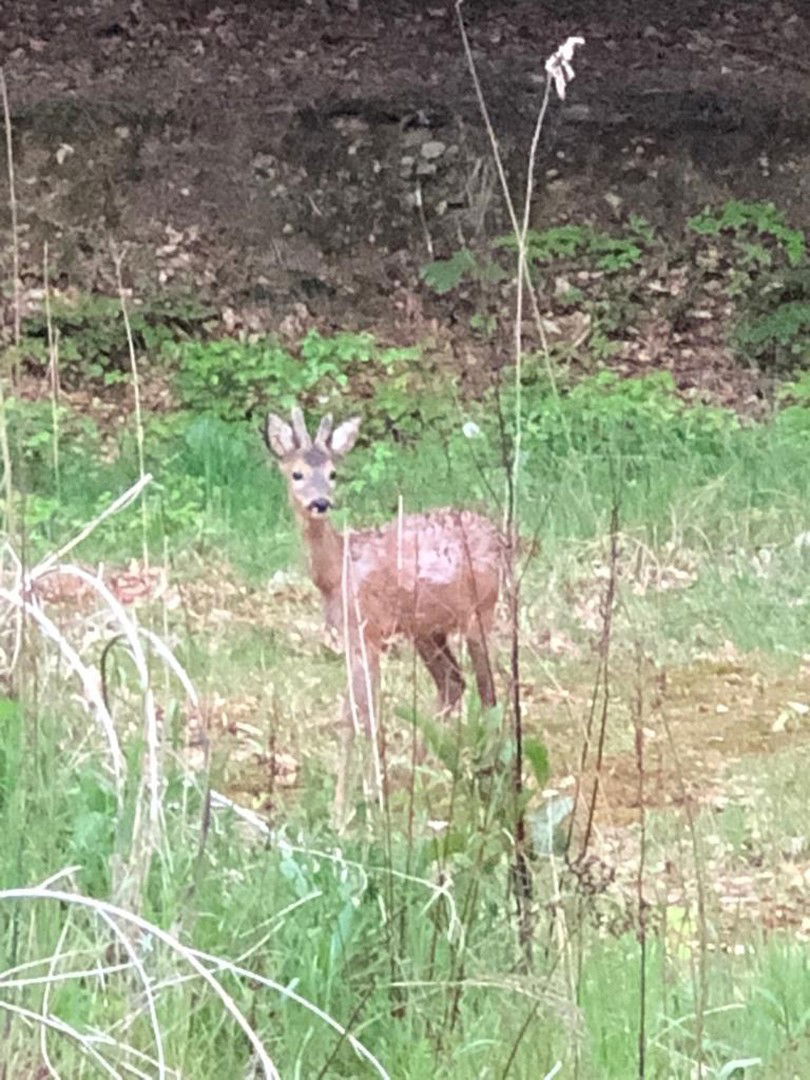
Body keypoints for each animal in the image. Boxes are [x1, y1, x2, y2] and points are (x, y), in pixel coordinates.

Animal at [266, 408, 501, 820]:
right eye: (296, 473)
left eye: (333, 473)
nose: (320, 503)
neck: (337, 573)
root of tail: (506, 538)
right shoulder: (349, 636)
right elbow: (350, 714)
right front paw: (347, 805)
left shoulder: (369, 630)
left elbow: (366, 713)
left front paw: (364, 801)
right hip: (427, 629)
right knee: (453, 683)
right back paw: (418, 774)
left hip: (480, 611)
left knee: (489, 691)